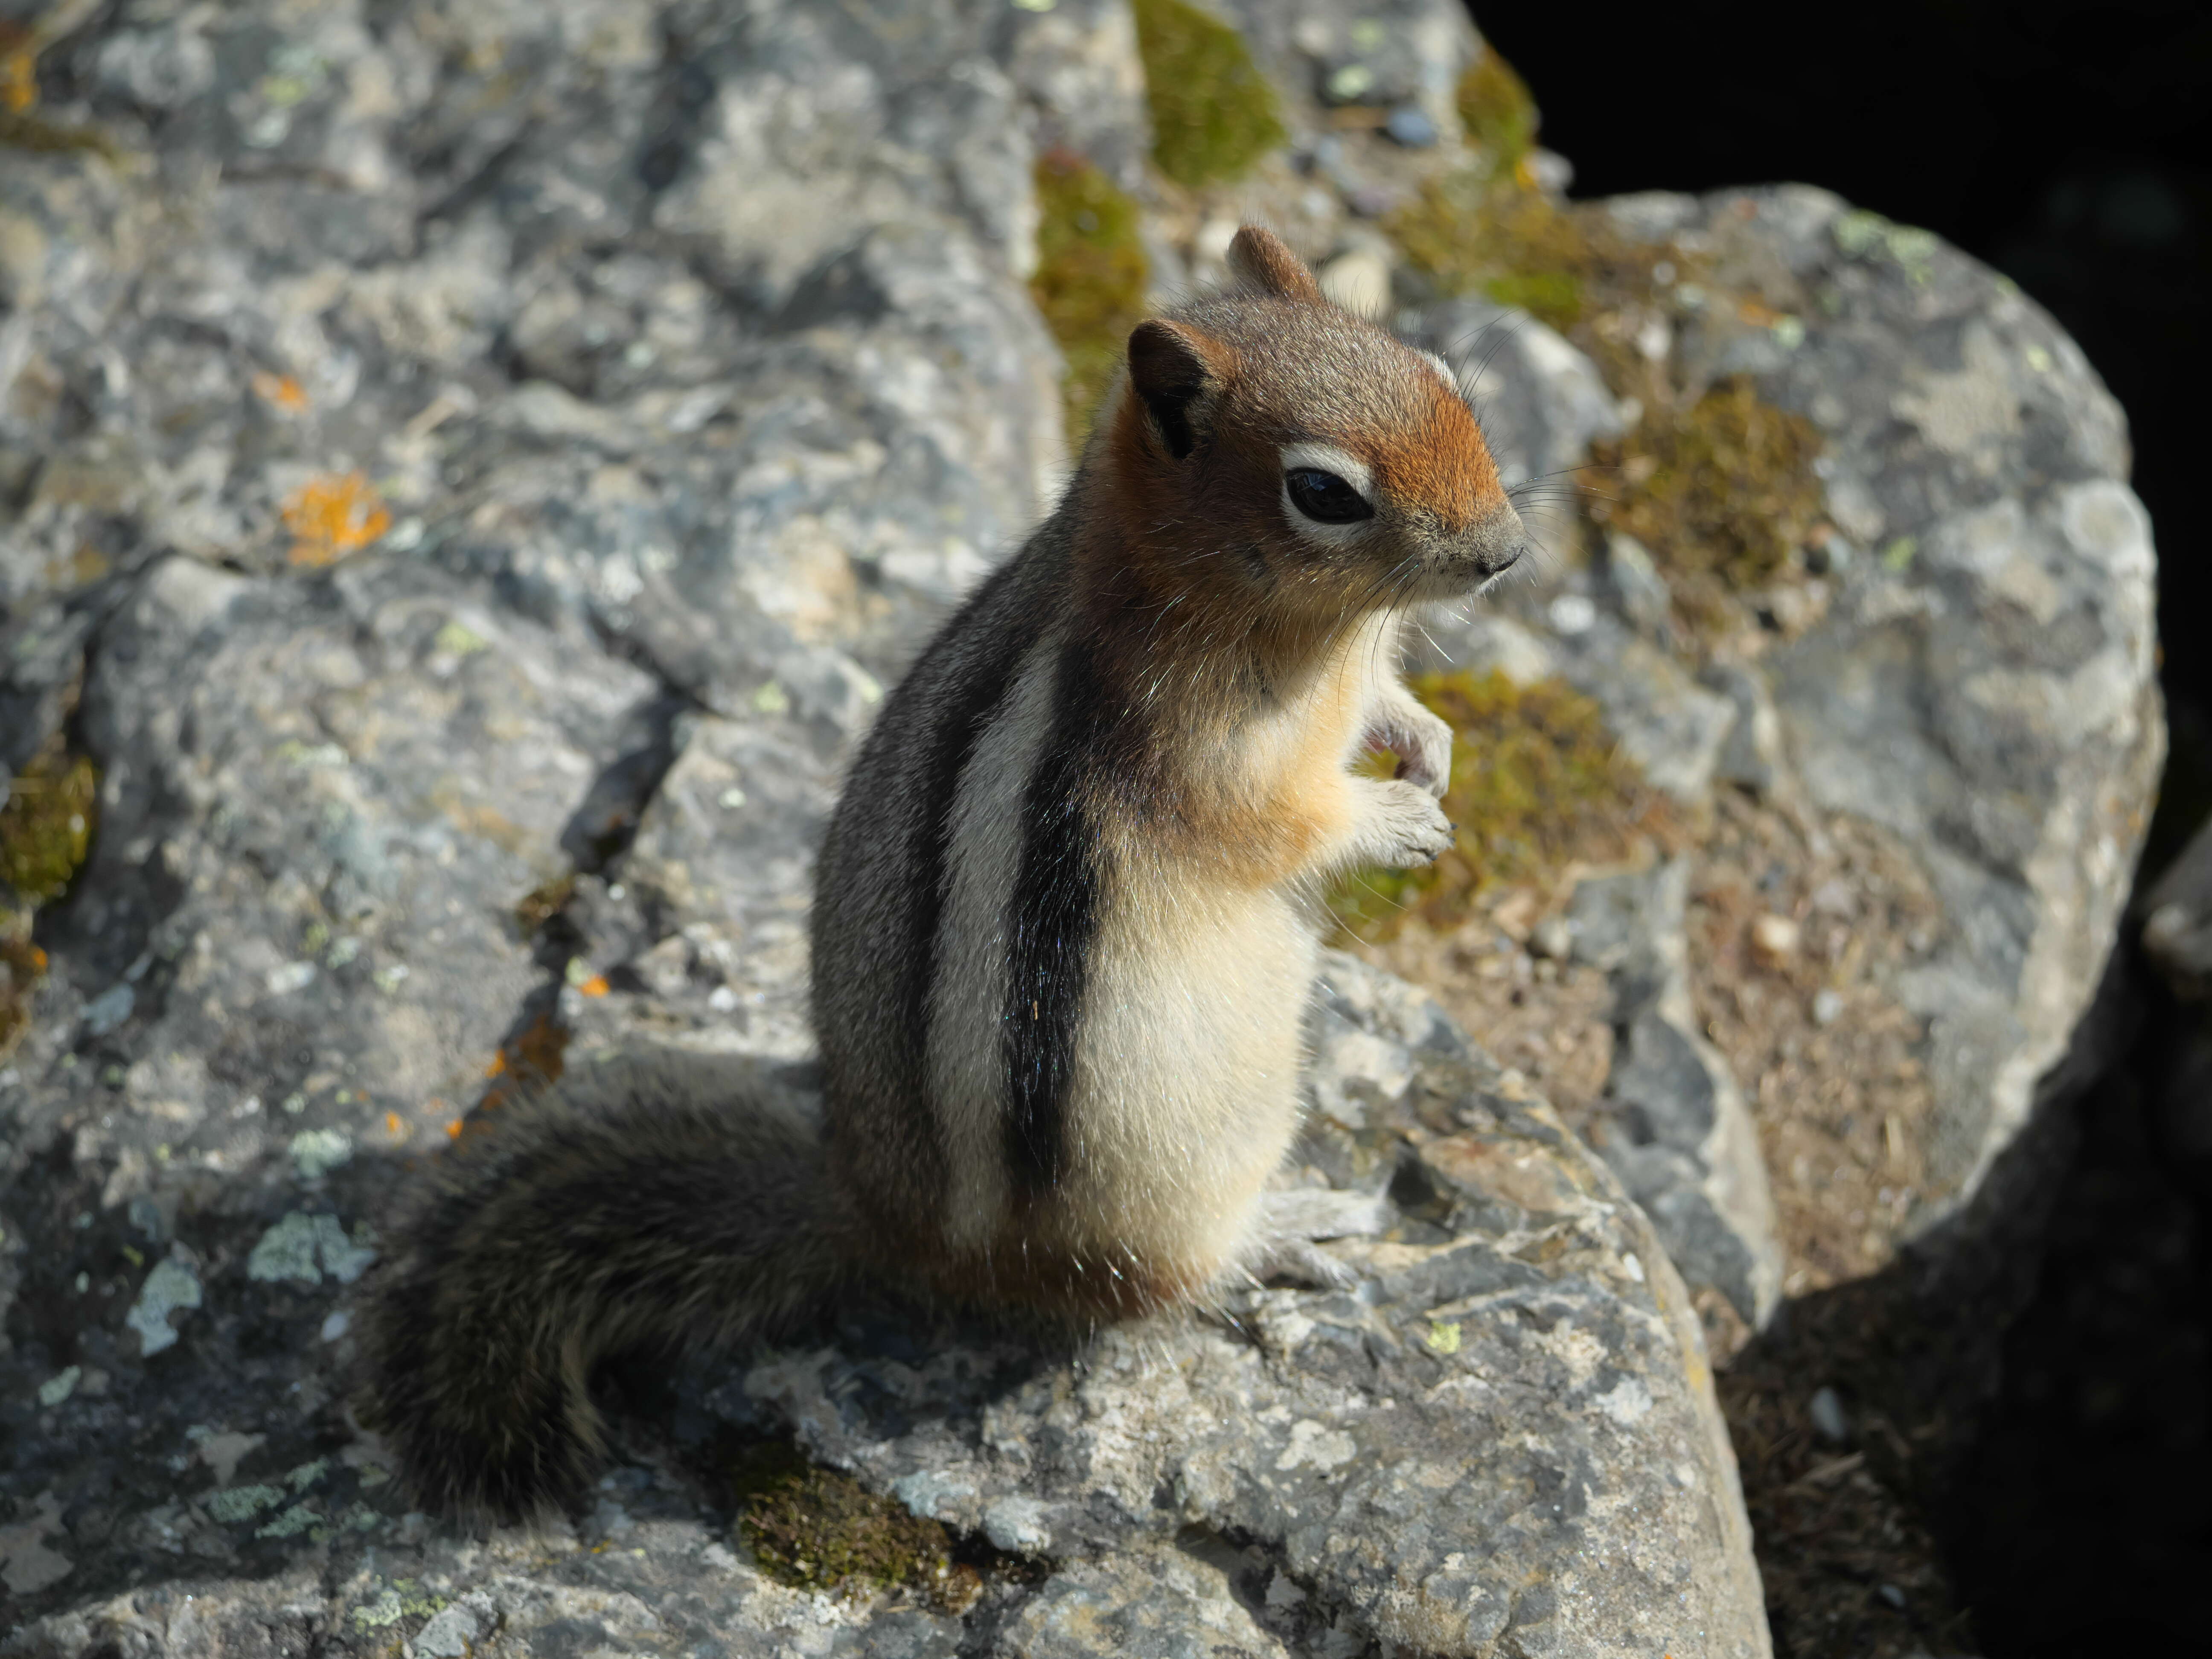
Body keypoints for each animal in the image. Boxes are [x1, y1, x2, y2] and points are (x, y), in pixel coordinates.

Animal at [367, 231, 1540, 1522]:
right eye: (1324, 493)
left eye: (1442, 374)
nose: (1505, 554)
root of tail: (883, 1218)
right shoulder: (1199, 750)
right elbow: (1278, 824)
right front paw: (1396, 821)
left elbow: (1388, 705)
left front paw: (1428, 743)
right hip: (1164, 1169)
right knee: (1154, 1284)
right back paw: (1282, 1230)